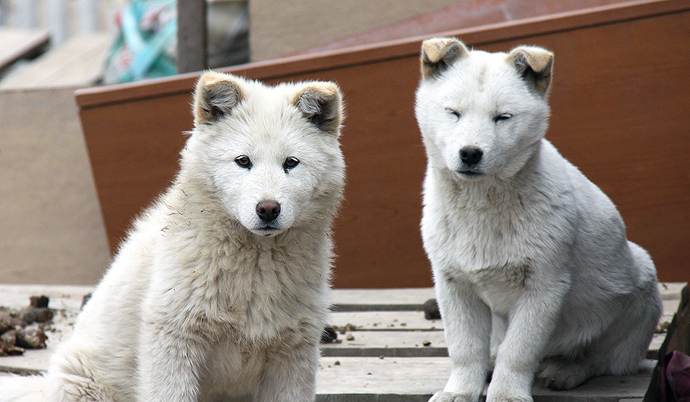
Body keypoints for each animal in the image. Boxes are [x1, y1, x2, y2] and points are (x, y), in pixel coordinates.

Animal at [0, 72, 344, 402]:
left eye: (291, 163)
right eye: (243, 161)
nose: (268, 209)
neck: (253, 271)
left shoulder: (293, 355)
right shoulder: (173, 341)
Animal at [414, 37, 660, 402]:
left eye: (502, 117)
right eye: (453, 112)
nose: (470, 153)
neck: (481, 206)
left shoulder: (544, 287)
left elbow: (518, 351)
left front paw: (506, 394)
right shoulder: (454, 284)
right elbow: (465, 348)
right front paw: (460, 391)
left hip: (639, 290)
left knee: (603, 359)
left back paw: (565, 369)